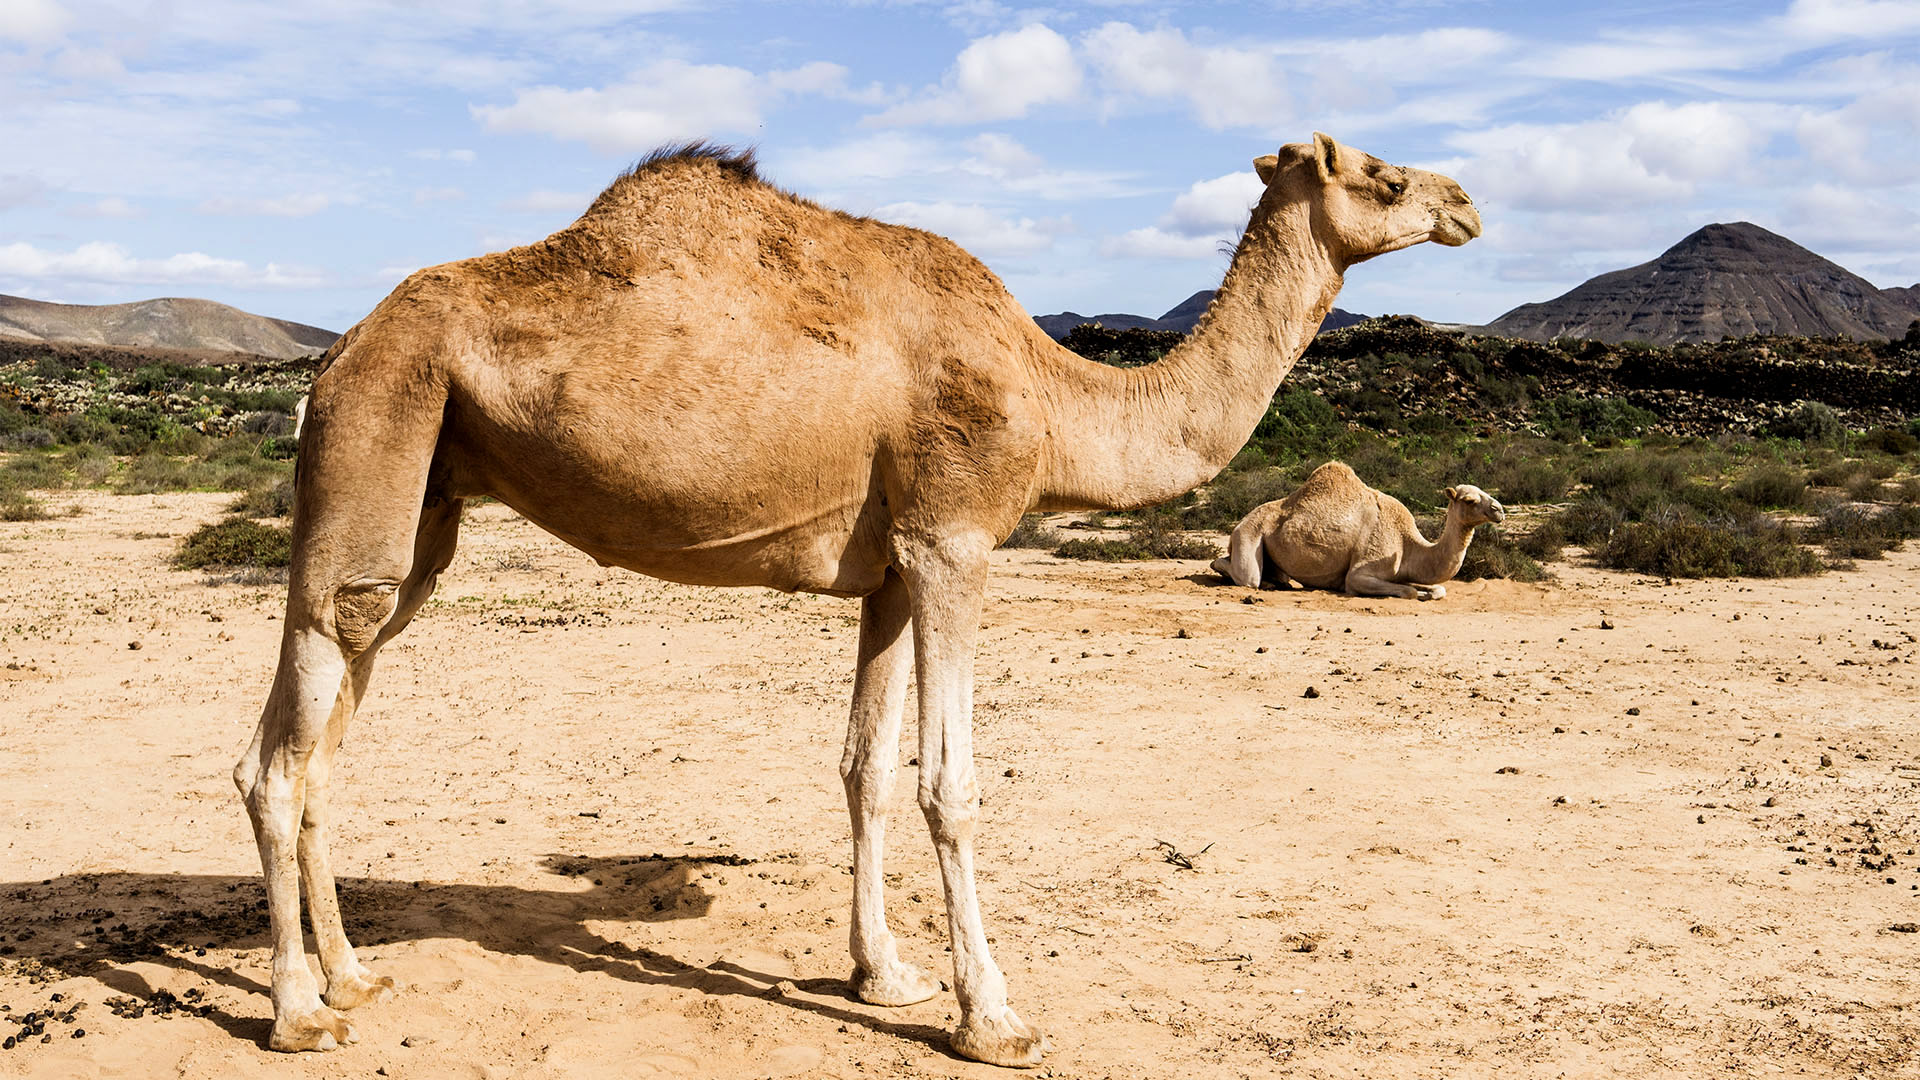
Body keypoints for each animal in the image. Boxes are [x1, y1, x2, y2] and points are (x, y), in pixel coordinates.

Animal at [232, 132, 1474, 1060]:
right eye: (1381, 174)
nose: (1466, 201)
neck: (1058, 399)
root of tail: (336, 354)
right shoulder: (955, 538)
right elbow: (951, 785)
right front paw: (995, 1019)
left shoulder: (890, 567)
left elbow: (865, 770)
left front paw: (885, 976)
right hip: (380, 430)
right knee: (289, 741)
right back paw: (297, 1012)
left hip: (426, 495)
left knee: (313, 725)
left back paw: (353, 978)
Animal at [1205, 461, 1505, 599]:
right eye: (1470, 500)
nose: (1499, 510)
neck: (1408, 543)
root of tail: (1239, 523)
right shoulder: (1360, 574)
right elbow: (1407, 592)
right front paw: (1417, 594)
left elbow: (1438, 589)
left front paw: (1427, 592)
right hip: (1249, 533)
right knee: (1246, 576)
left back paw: (1276, 581)